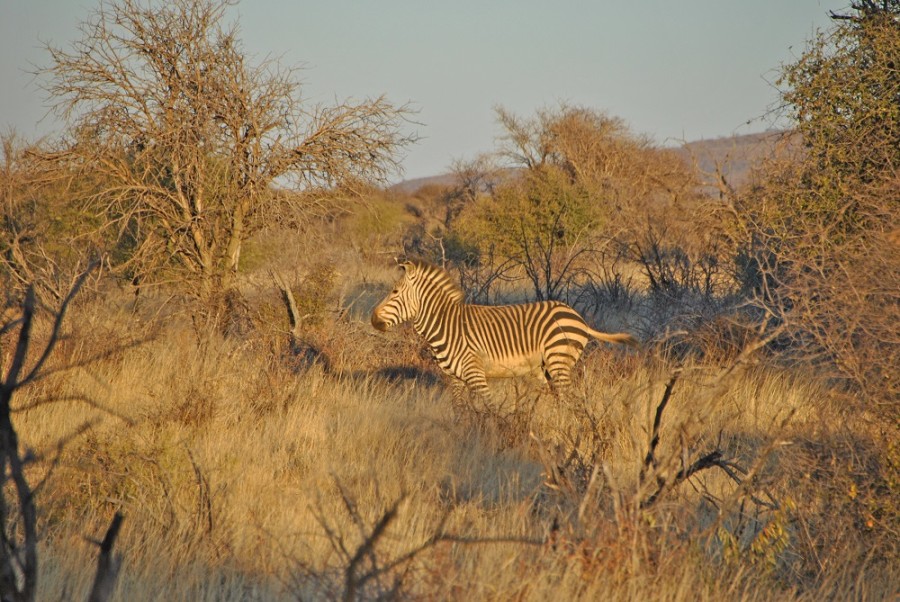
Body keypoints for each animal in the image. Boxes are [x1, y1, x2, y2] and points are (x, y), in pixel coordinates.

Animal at [370, 258, 636, 398]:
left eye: (395, 292)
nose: (373, 319)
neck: (447, 325)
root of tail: (579, 318)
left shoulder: (476, 374)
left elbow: (487, 413)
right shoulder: (454, 379)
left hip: (559, 360)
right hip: (544, 368)